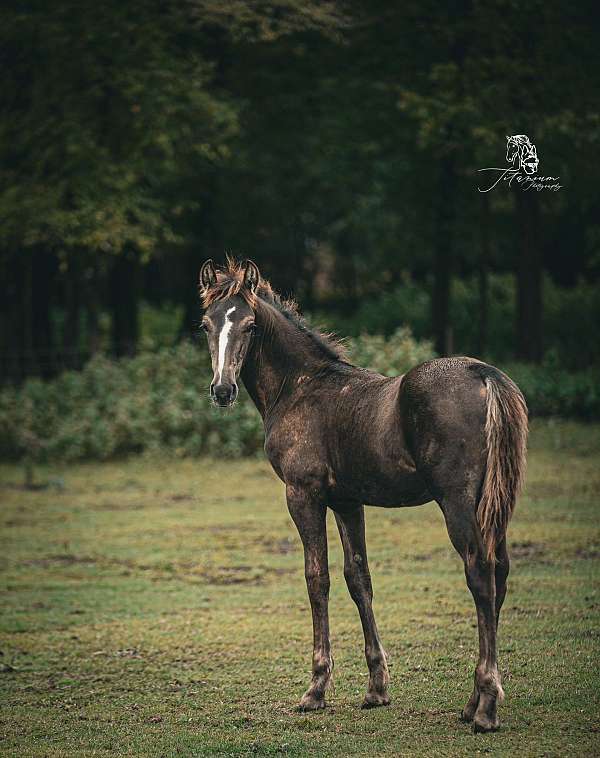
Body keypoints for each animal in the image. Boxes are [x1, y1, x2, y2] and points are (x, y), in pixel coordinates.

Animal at [199, 258, 528, 732]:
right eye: (206, 325)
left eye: (249, 326)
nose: (223, 390)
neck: (299, 387)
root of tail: (485, 374)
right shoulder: (347, 501)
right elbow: (359, 578)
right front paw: (377, 687)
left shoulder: (304, 495)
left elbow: (317, 578)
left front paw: (316, 689)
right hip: (494, 505)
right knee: (499, 574)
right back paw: (471, 703)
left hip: (459, 502)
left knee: (480, 574)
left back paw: (485, 707)